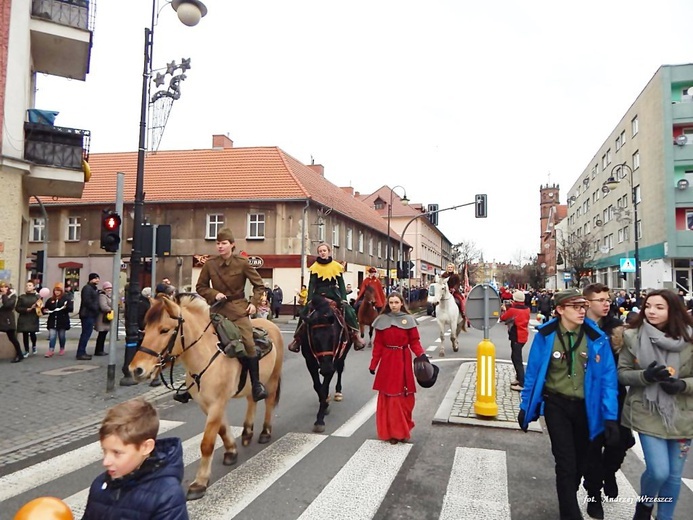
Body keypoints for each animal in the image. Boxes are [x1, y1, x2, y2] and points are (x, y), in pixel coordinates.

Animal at [128, 292, 282, 500]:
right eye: (144, 330)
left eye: (164, 330)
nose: (136, 369)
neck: (205, 354)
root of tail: (270, 324)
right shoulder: (206, 404)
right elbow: (222, 430)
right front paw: (231, 451)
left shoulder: (217, 404)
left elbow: (207, 443)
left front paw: (200, 482)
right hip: (253, 383)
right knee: (252, 400)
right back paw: (247, 432)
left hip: (272, 380)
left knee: (269, 403)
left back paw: (265, 432)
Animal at [298, 294, 352, 432]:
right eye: (315, 339)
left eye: (332, 337)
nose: (326, 368)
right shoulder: (310, 362)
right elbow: (318, 387)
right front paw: (325, 406)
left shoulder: (333, 360)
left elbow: (324, 387)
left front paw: (320, 419)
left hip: (342, 356)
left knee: (340, 370)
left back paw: (338, 392)